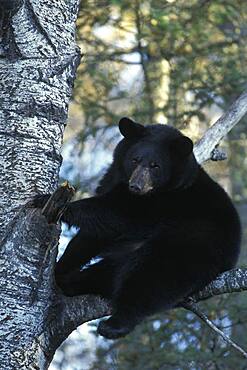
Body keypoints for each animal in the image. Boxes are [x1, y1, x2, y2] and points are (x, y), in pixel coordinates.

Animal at [33, 118, 240, 338]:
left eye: (155, 165)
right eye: (135, 159)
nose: (136, 186)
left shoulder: (159, 205)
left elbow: (113, 213)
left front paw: (49, 201)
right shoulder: (113, 179)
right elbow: (92, 237)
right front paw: (60, 267)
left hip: (191, 243)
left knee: (153, 277)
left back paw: (115, 325)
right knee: (107, 272)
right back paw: (71, 282)